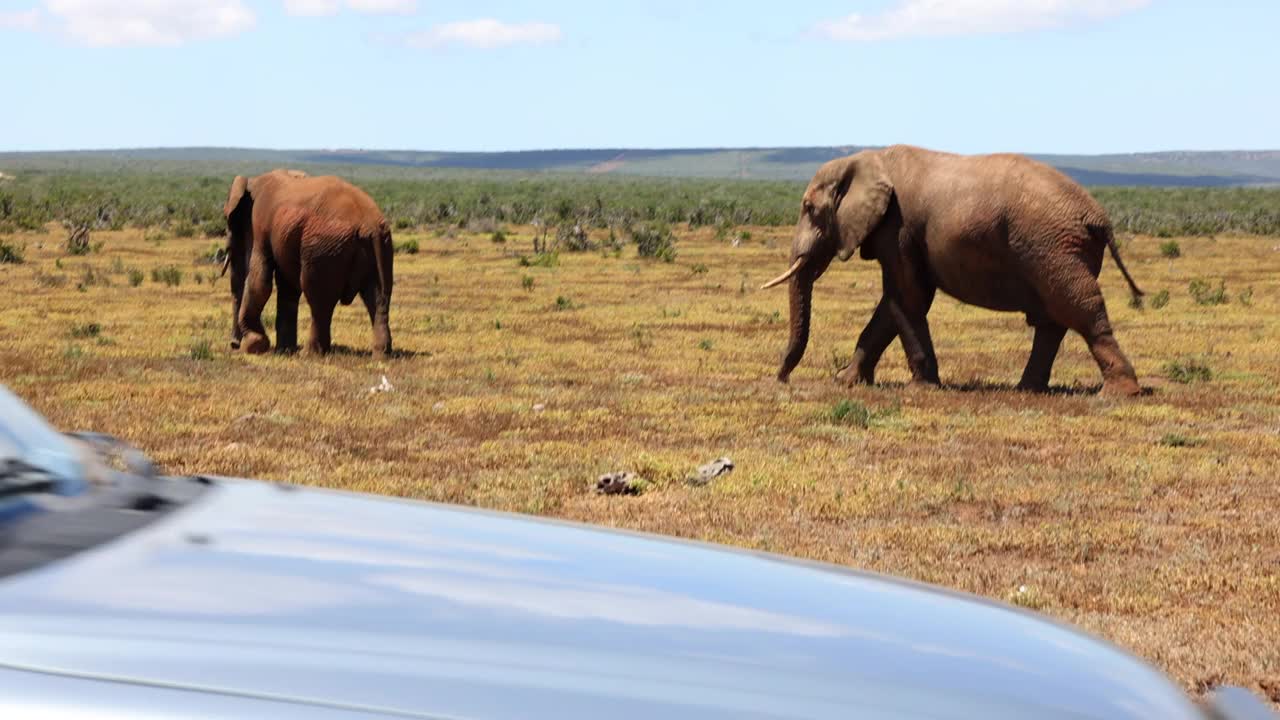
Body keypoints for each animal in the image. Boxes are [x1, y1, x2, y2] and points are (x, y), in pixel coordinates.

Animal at [222, 169, 394, 358]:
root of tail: (369, 226)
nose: (233, 344)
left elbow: (259, 281)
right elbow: (287, 288)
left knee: (319, 300)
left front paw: (254, 346)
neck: (252, 181)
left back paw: (309, 353)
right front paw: (284, 350)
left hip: (323, 247)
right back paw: (381, 355)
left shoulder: (260, 225)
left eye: (228, 220)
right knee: (379, 299)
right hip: (381, 245)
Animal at [762, 143, 1146, 394]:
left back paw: (1119, 392)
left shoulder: (897, 227)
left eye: (809, 208)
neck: (865, 159)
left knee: (1079, 311)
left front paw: (922, 387)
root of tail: (1099, 217)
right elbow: (892, 305)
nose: (781, 379)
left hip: (1053, 247)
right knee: (1052, 321)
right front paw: (846, 381)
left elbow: (908, 297)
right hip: (1056, 249)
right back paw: (1027, 389)